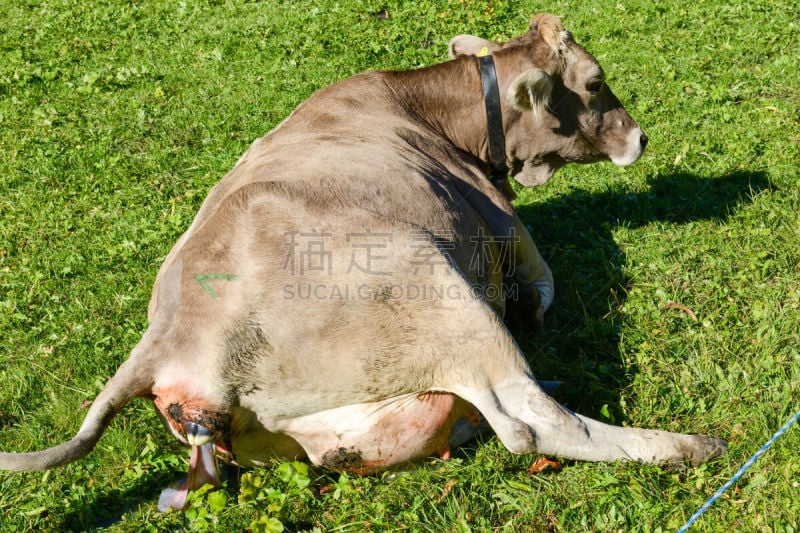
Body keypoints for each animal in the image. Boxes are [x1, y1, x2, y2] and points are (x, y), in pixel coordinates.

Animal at [0, 14, 724, 510]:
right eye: (595, 82)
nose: (641, 138)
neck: (432, 113)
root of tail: (168, 343)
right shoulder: (505, 224)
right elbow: (542, 278)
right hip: (443, 295)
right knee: (530, 424)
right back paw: (683, 445)